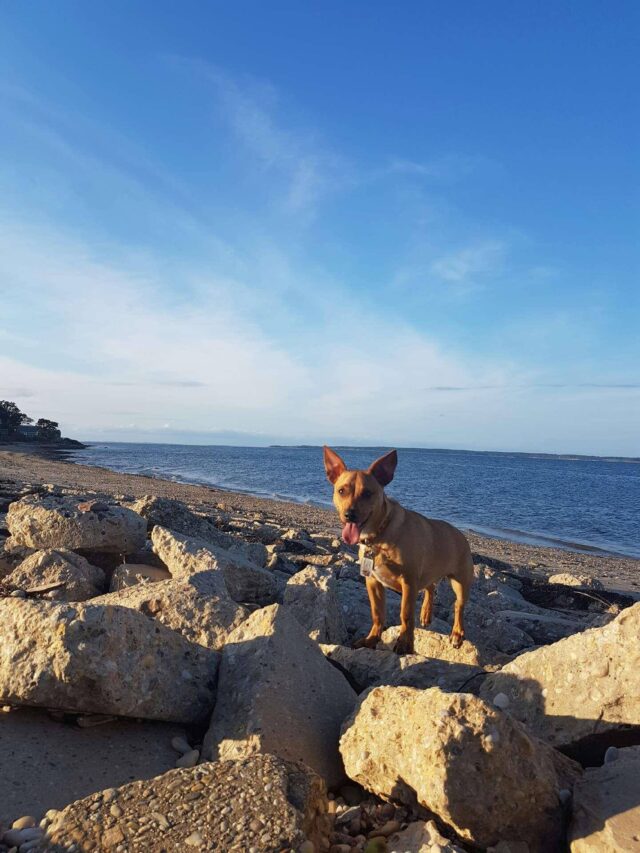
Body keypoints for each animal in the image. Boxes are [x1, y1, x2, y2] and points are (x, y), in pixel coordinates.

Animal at [322, 446, 472, 652]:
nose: (349, 514)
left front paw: (404, 644)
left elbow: (405, 615)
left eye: (367, 493)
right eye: (341, 491)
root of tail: (460, 534)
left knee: (459, 606)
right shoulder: (372, 582)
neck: (378, 537)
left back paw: (457, 633)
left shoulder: (408, 582)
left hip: (460, 583)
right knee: (430, 587)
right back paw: (426, 613)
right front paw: (372, 639)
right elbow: (377, 614)